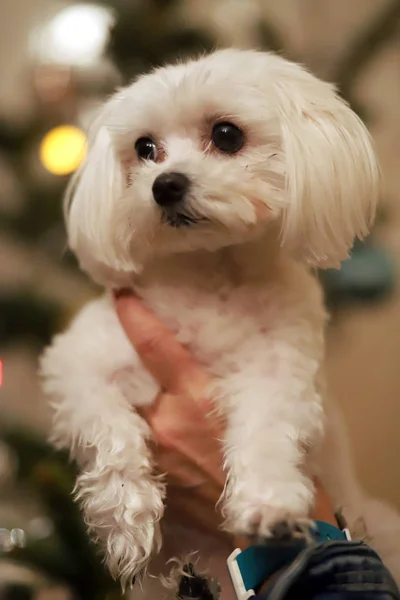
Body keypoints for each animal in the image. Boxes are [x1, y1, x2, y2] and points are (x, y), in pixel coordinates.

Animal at [38, 49, 400, 592]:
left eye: (227, 135)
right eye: (145, 148)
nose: (165, 185)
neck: (211, 274)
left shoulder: (281, 370)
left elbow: (268, 427)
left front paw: (269, 503)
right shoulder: (80, 364)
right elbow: (109, 432)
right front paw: (125, 514)